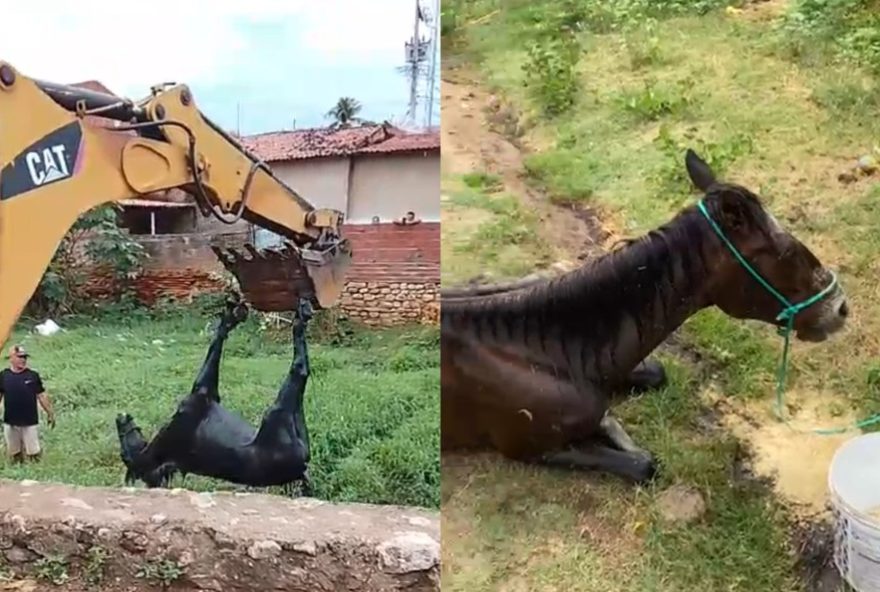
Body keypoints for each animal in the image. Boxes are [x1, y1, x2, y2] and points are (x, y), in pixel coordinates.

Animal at [116, 297, 314, 494]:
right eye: (123, 453)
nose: (120, 418)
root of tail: (301, 468)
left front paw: (229, 319)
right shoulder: (197, 399)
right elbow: (205, 379)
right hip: (277, 414)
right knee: (300, 368)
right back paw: (300, 320)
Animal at [440, 149, 849, 483]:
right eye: (785, 252)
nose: (840, 308)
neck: (552, 351)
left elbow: (654, 373)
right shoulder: (526, 446)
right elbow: (645, 464)